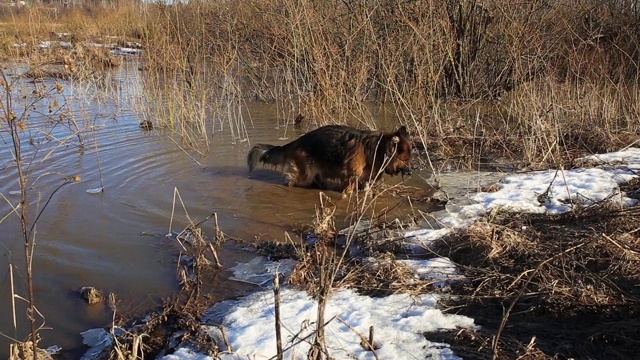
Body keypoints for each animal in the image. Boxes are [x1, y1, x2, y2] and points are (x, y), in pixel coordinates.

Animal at [248, 126, 412, 194]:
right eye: (405, 159)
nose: (411, 172)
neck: (377, 148)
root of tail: (295, 142)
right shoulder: (351, 179)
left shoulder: (364, 180)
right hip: (303, 174)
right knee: (291, 182)